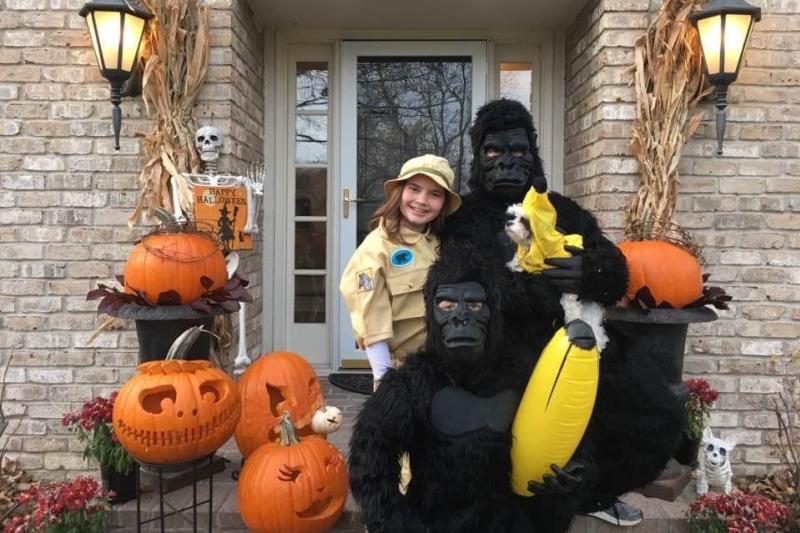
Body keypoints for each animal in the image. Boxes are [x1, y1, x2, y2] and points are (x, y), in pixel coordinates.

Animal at [504, 202, 608, 352]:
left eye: (524, 220)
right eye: (513, 216)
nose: (508, 223)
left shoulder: (568, 288)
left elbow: (571, 306)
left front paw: (573, 322)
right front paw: (515, 265)